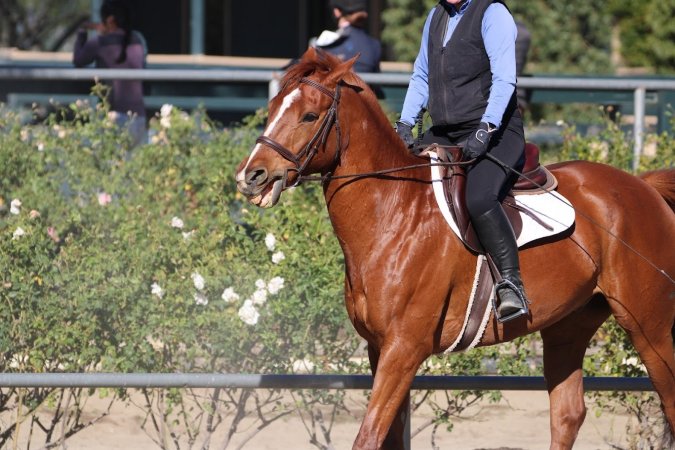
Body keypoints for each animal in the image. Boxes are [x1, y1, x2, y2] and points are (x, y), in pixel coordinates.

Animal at [235, 48, 675, 450]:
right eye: (273, 108)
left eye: (309, 116)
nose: (251, 176)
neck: (395, 213)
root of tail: (643, 187)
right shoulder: (379, 349)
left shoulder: (403, 350)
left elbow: (369, 436)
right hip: (569, 325)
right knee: (567, 413)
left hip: (648, 326)